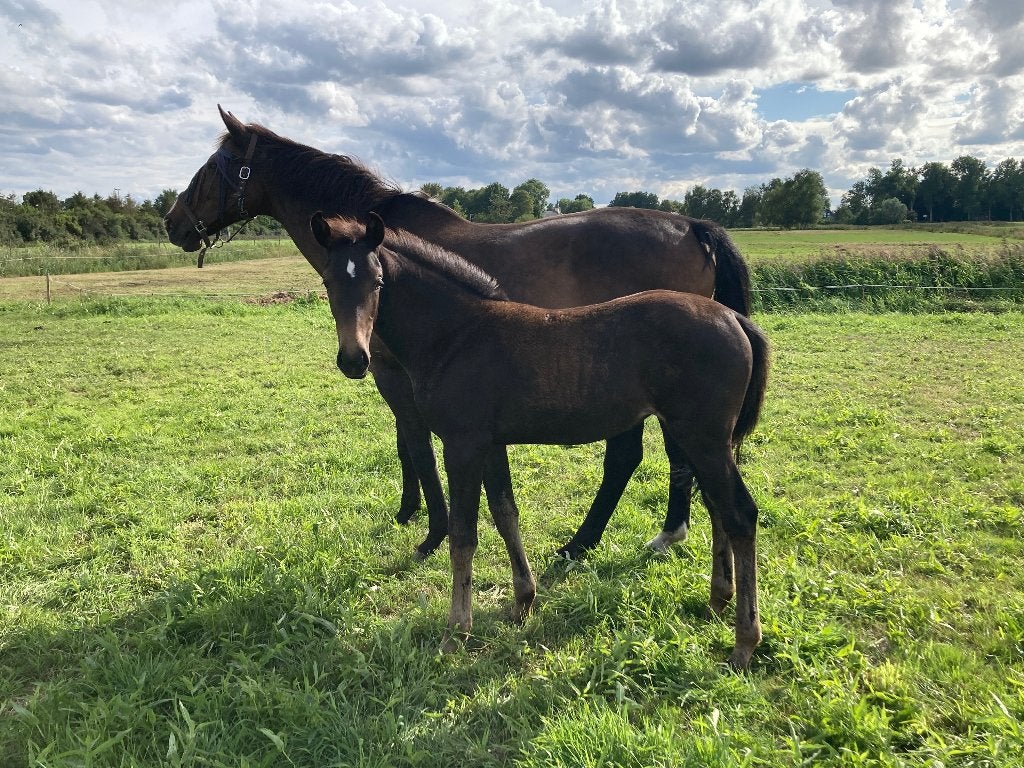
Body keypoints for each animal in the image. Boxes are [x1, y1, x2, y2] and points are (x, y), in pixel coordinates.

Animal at [164, 106, 754, 560]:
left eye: (214, 167)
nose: (172, 223)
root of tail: (692, 225)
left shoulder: (393, 374)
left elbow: (417, 446)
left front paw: (432, 530)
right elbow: (405, 445)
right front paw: (409, 513)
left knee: (641, 456)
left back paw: (595, 541)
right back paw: (659, 533)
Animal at [310, 211, 769, 669]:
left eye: (377, 282)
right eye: (328, 281)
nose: (354, 359)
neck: (457, 334)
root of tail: (735, 320)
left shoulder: (462, 445)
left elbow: (463, 535)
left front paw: (456, 632)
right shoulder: (490, 444)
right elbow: (506, 514)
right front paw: (522, 602)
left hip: (703, 437)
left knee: (740, 514)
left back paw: (744, 641)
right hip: (700, 438)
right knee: (716, 506)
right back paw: (718, 599)